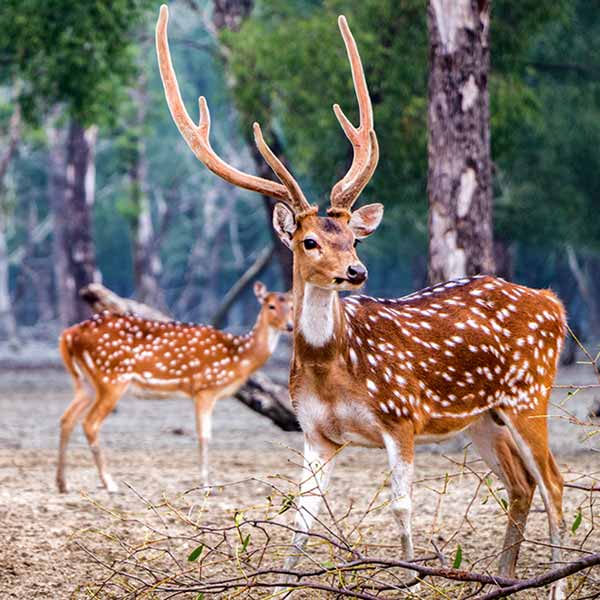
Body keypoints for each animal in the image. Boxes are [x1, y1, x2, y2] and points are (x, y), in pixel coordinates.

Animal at [56, 282, 292, 492]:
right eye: (270, 306)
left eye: (290, 305)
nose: (289, 326)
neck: (238, 358)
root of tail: (69, 334)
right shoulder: (205, 388)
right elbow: (204, 436)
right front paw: (206, 484)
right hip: (112, 378)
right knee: (90, 423)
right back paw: (109, 483)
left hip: (86, 382)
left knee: (67, 418)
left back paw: (63, 483)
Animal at [155, 7, 568, 596]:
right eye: (309, 241)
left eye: (354, 237)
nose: (357, 271)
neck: (333, 369)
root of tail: (552, 301)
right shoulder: (315, 432)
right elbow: (301, 519)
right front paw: (282, 583)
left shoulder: (401, 417)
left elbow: (401, 510)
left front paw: (413, 580)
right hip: (483, 415)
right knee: (520, 483)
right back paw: (502, 579)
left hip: (530, 391)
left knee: (554, 481)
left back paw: (551, 581)